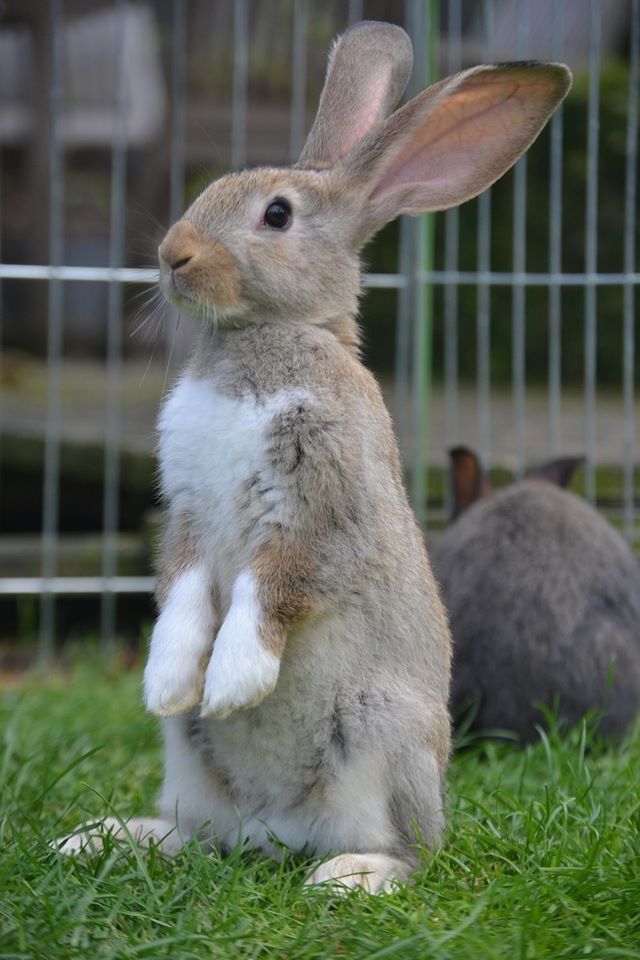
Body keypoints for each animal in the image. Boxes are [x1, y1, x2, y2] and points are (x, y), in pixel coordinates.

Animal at [55, 20, 572, 892]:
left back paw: (350, 876)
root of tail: (274, 830)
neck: (264, 338)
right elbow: (184, 595)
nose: (173, 253)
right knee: (197, 833)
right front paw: (169, 683)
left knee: (412, 856)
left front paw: (232, 684)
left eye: (276, 214)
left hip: (379, 733)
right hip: (188, 763)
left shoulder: (319, 507)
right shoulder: (188, 517)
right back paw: (100, 837)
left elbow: (270, 590)